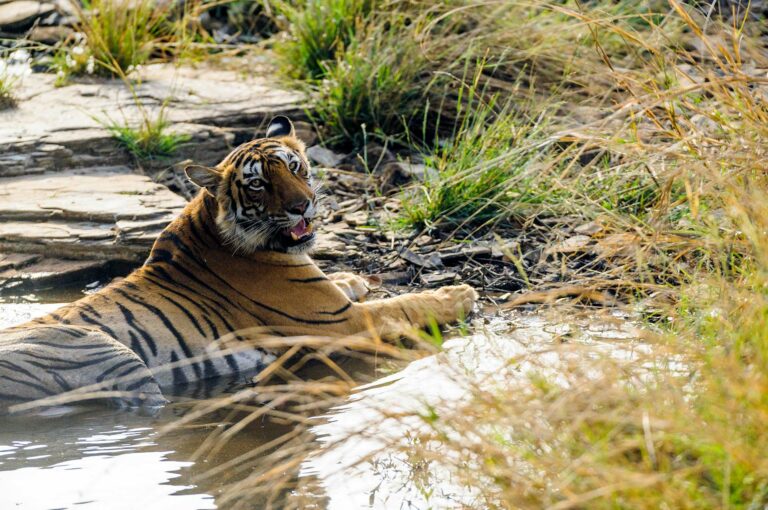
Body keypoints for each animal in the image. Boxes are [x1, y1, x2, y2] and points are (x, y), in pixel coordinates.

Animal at [0, 117, 474, 412]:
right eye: (258, 184)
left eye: (295, 167)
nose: (302, 206)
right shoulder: (343, 322)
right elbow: (404, 305)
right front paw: (458, 294)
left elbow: (346, 283)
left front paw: (353, 276)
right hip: (107, 353)